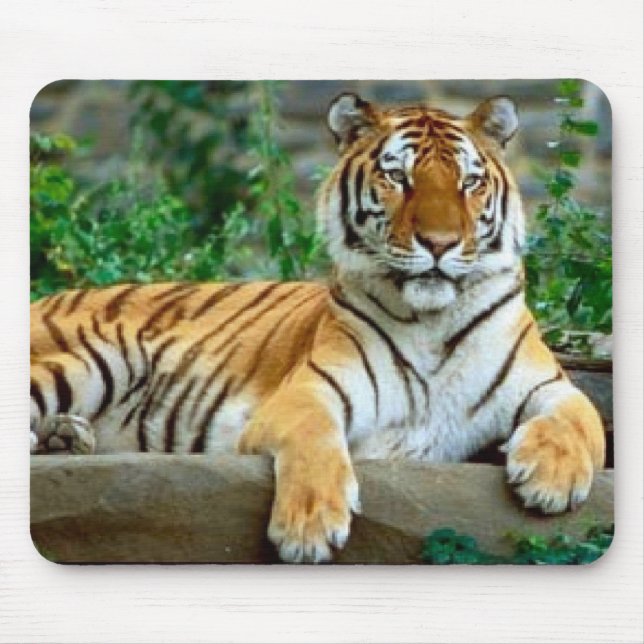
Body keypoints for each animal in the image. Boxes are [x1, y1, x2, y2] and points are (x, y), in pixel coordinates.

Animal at [30, 92, 605, 564]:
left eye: (470, 183)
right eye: (399, 178)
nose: (440, 243)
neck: (432, 321)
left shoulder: (549, 385)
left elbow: (582, 421)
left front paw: (550, 480)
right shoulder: (307, 391)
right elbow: (315, 439)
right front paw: (307, 529)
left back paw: (66, 437)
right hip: (98, 358)